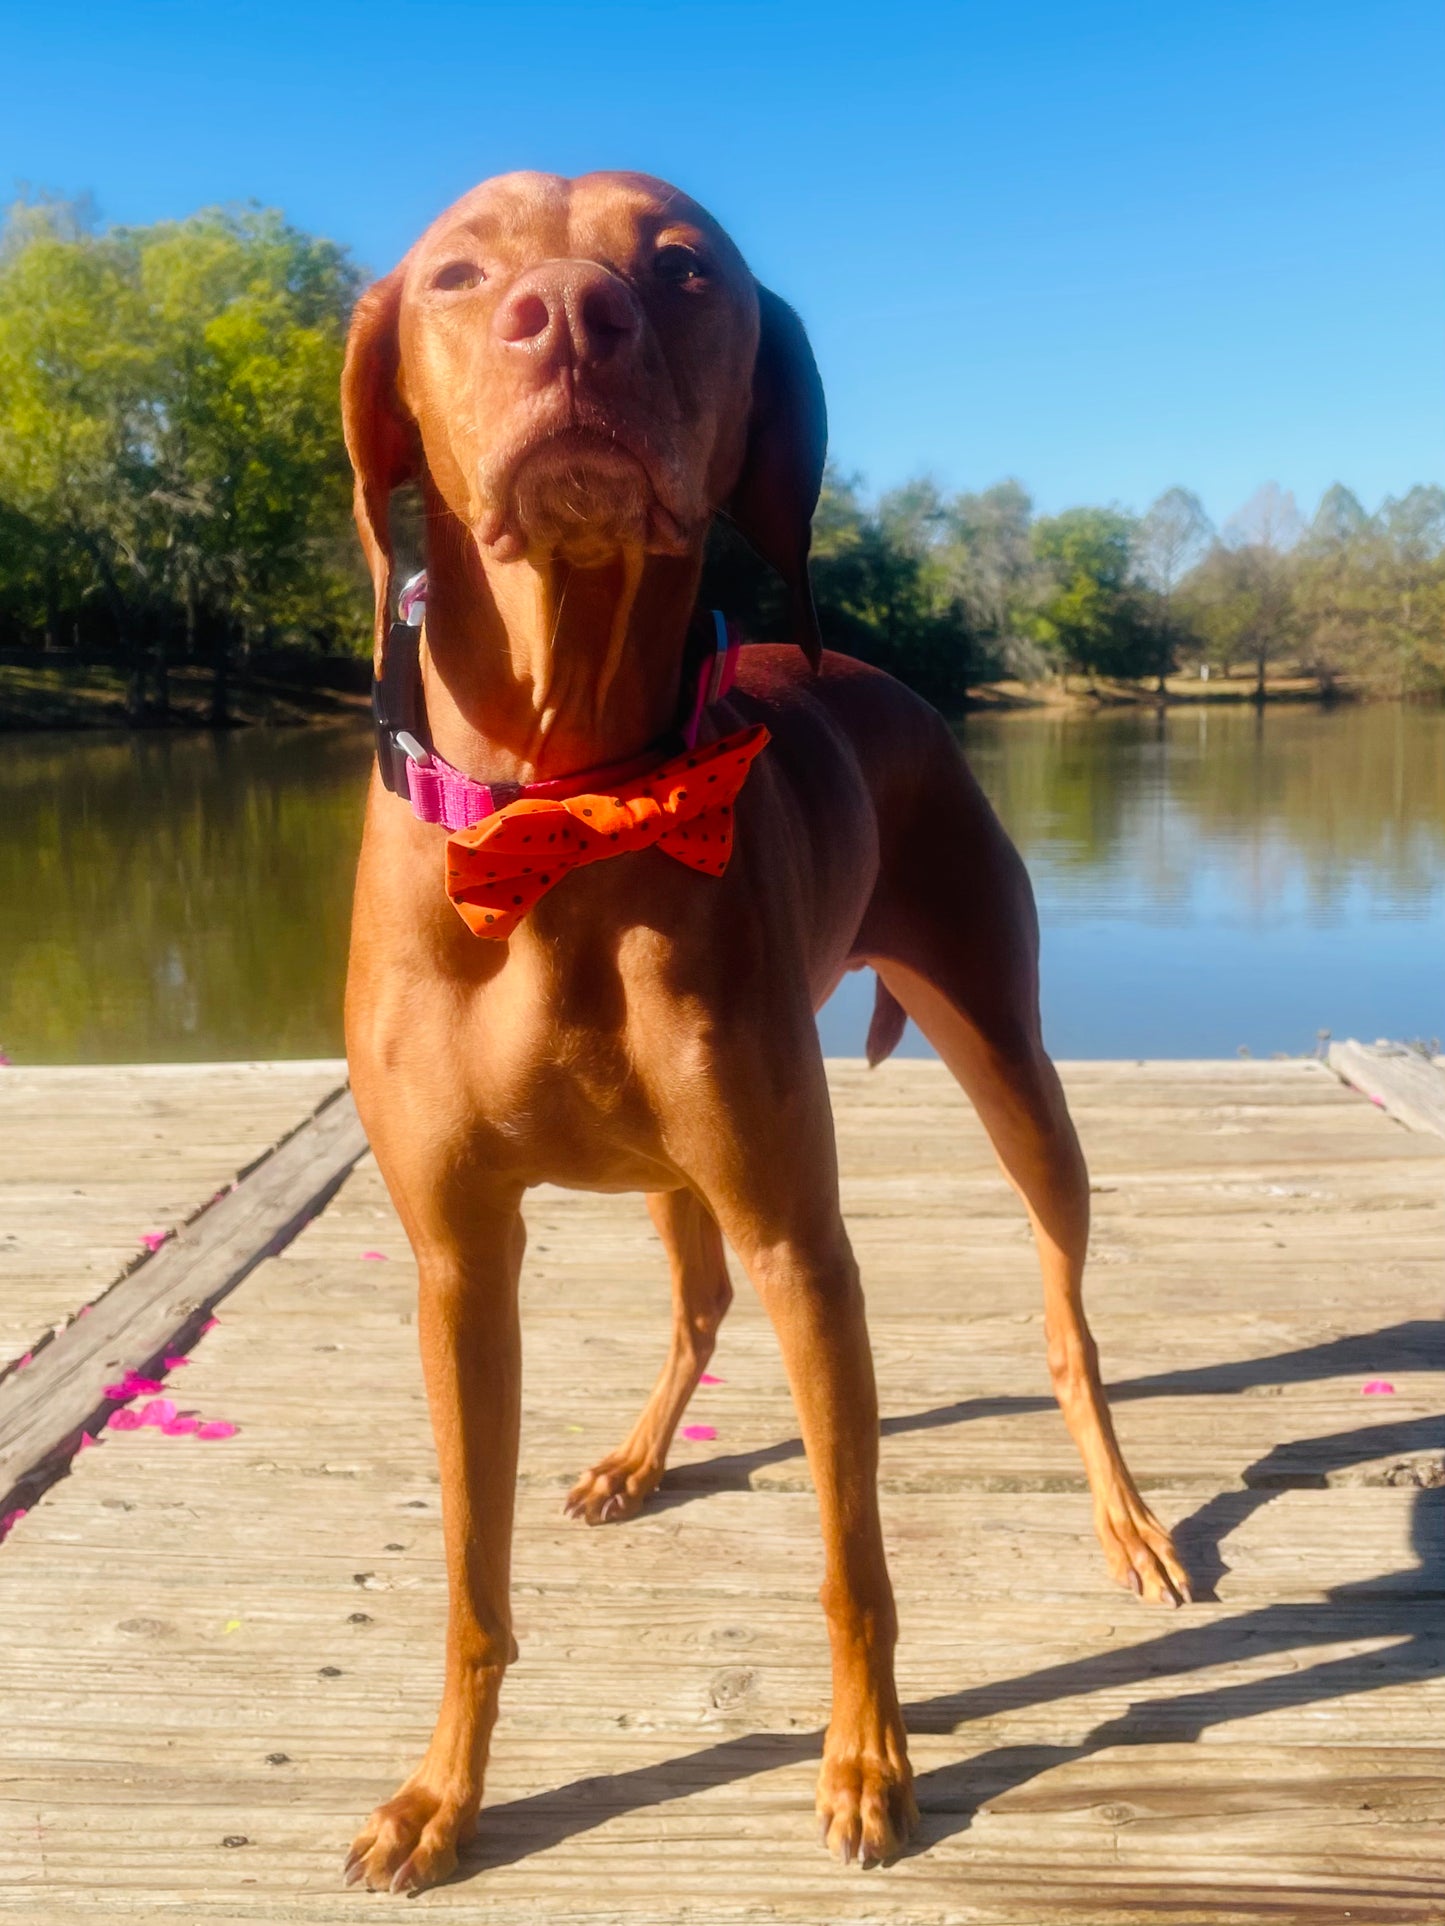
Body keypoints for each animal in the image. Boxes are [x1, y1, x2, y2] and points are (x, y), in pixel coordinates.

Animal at [342, 169, 1202, 1895]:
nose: (571, 314)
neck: (570, 794)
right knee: (694, 1302)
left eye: (681, 267)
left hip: (1007, 1064)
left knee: (1065, 1320)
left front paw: (871, 1760)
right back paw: (636, 1454)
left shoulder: (809, 1237)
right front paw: (441, 1794)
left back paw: (1128, 1516)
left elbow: (849, 1553)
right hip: (687, 1172)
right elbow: (470, 1577)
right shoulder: (457, 1259)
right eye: (458, 271)